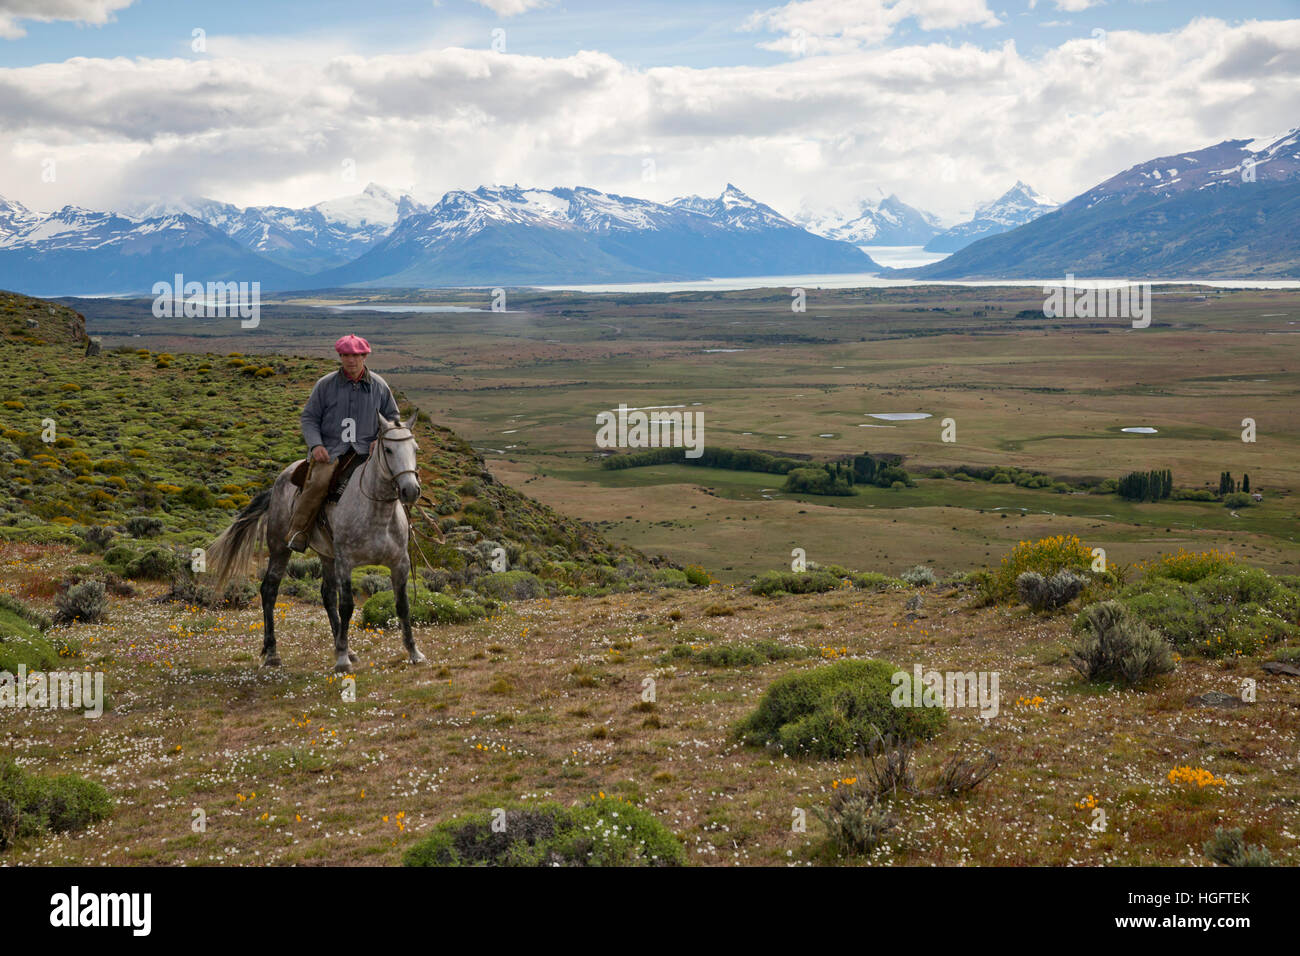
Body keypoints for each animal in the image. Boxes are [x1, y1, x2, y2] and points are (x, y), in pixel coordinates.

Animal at [204, 411, 421, 671]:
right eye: (388, 450)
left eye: (415, 449)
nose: (411, 490)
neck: (377, 512)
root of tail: (277, 483)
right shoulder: (345, 562)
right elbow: (346, 606)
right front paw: (341, 660)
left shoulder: (400, 563)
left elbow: (402, 605)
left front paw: (414, 652)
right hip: (280, 548)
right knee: (269, 589)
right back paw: (272, 653)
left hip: (326, 555)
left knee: (327, 594)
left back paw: (347, 649)